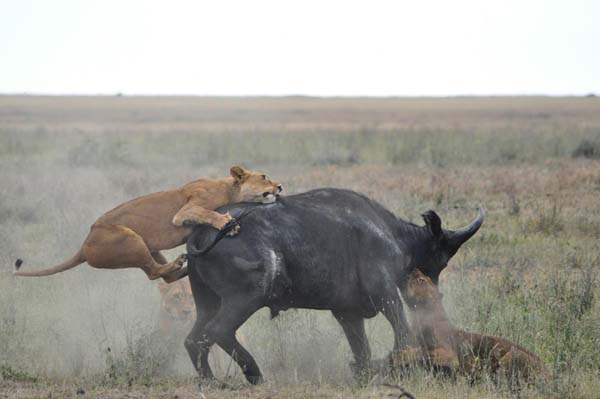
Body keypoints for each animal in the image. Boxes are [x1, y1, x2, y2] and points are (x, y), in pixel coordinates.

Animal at [183, 189, 482, 386]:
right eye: (441, 259)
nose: (434, 294)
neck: (394, 236)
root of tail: (203, 231)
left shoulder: (347, 313)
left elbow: (362, 348)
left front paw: (365, 375)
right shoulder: (386, 294)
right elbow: (402, 332)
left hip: (208, 302)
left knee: (194, 339)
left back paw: (210, 381)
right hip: (248, 297)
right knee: (218, 331)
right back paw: (254, 374)